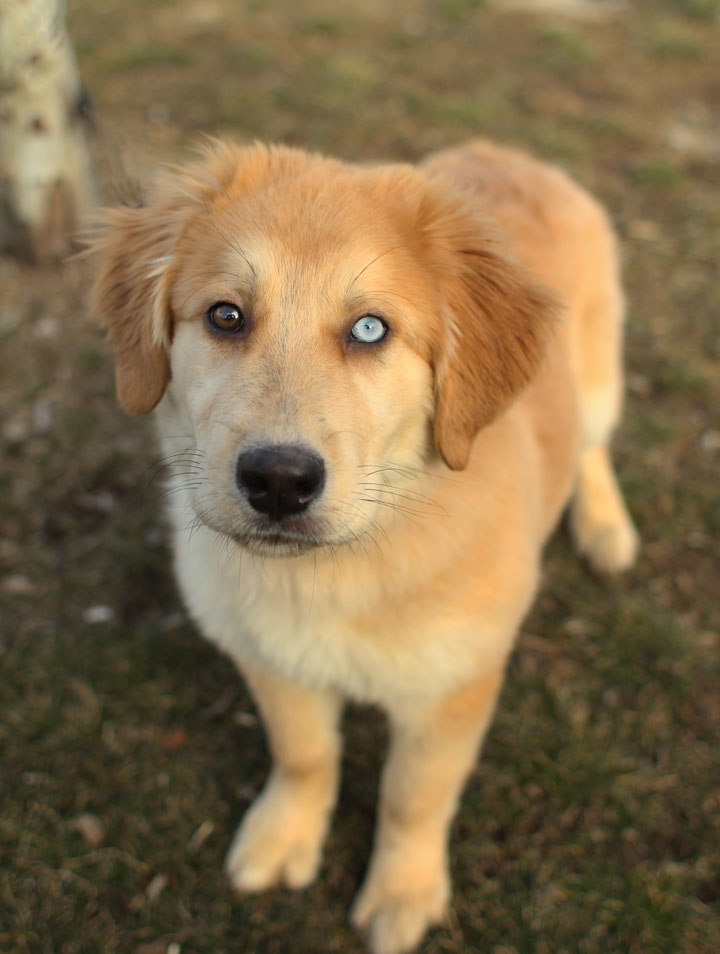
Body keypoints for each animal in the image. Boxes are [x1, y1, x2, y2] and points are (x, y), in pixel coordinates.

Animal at [93, 139, 640, 952]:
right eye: (226, 316)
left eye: (371, 330)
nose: (278, 482)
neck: (340, 573)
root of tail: (505, 152)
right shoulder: (271, 654)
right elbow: (305, 753)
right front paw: (285, 834)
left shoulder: (451, 688)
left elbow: (413, 796)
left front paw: (402, 892)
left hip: (600, 372)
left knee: (594, 442)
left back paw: (605, 526)